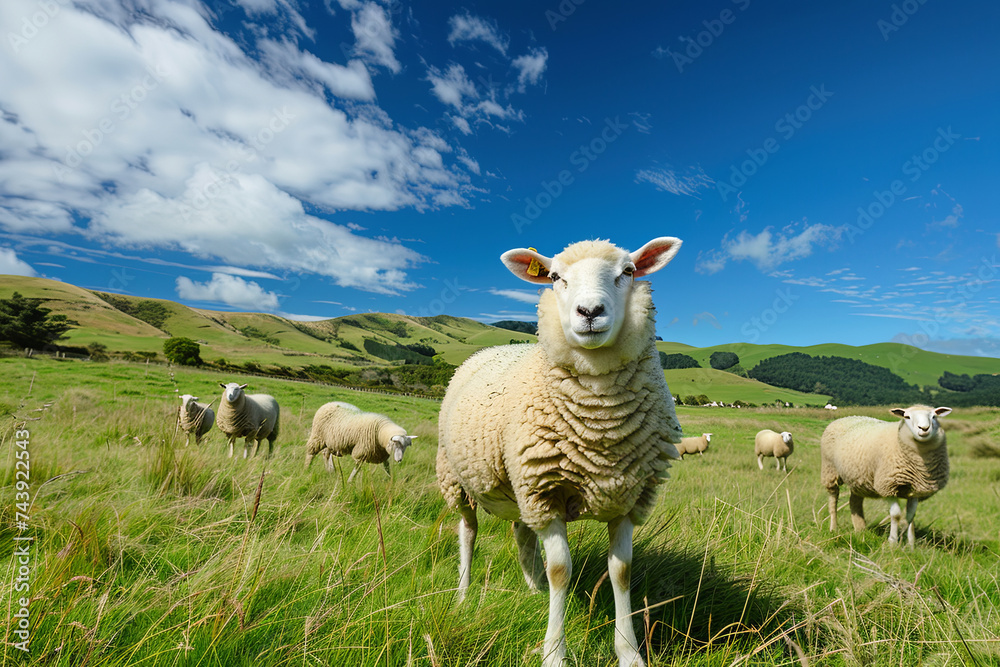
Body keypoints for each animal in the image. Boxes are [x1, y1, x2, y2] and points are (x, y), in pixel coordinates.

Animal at [437, 237, 684, 667]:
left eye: (628, 271)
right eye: (554, 277)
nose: (590, 312)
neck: (601, 427)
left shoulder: (626, 497)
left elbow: (621, 571)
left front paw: (629, 652)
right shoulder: (546, 492)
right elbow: (561, 571)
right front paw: (554, 652)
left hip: (519, 488)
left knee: (521, 534)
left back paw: (533, 590)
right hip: (460, 480)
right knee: (467, 532)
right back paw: (464, 594)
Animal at [821, 405, 951, 548]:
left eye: (934, 416)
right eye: (907, 417)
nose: (924, 428)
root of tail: (847, 417)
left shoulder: (916, 489)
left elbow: (910, 516)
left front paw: (911, 545)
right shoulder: (887, 485)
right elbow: (896, 515)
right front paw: (893, 542)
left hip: (857, 478)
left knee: (854, 502)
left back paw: (860, 530)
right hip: (830, 470)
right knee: (833, 500)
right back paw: (833, 528)